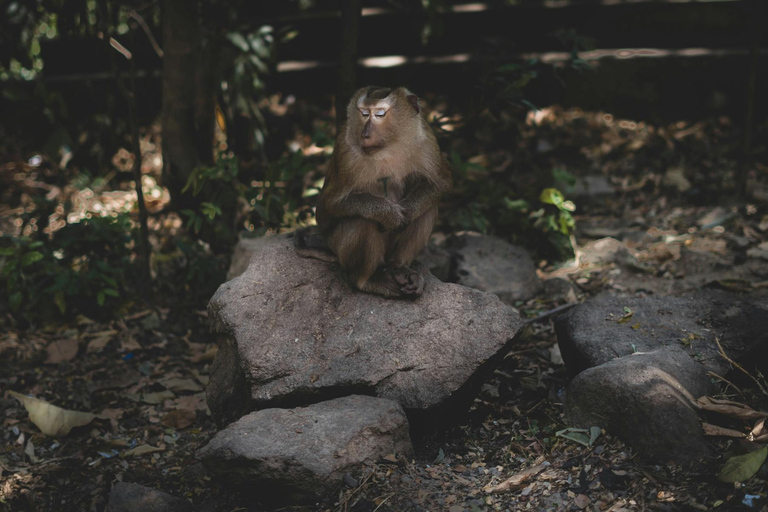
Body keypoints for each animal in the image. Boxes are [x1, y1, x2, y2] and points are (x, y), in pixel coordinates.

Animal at [294, 86, 450, 298]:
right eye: (364, 113)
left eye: (380, 114)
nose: (365, 134)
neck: (388, 145)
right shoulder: (346, 153)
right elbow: (330, 204)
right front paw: (388, 214)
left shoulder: (426, 140)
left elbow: (440, 183)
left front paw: (408, 211)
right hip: (338, 245)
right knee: (363, 221)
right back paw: (366, 281)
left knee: (428, 209)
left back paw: (398, 267)